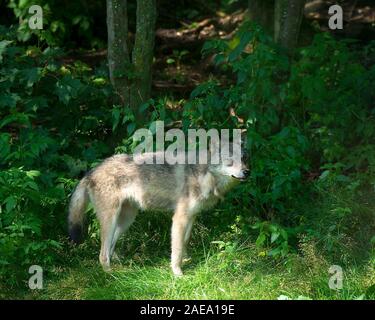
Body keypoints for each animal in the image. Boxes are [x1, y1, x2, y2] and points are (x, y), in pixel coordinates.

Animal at [67, 140, 250, 276]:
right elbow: (176, 249)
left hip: (125, 220)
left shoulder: (191, 217)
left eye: (244, 158)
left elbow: (184, 242)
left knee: (110, 248)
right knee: (102, 254)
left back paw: (120, 266)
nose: (247, 172)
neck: (204, 175)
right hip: (111, 220)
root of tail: (90, 172)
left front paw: (186, 260)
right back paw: (111, 274)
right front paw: (178, 273)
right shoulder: (179, 218)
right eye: (230, 160)